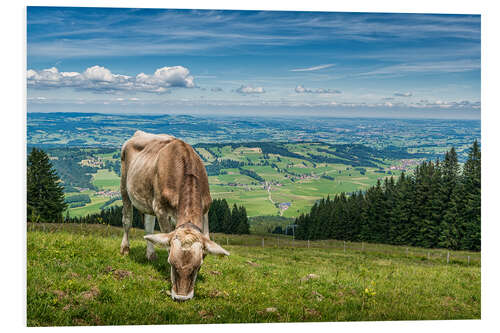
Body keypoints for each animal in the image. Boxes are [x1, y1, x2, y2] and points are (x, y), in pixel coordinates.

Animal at [120, 131, 229, 300]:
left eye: (197, 266)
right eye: (171, 262)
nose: (181, 297)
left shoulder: (205, 210)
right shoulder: (161, 209)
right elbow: (166, 242)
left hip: (149, 199)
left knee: (149, 227)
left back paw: (151, 255)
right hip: (125, 187)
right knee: (127, 220)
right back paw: (125, 249)